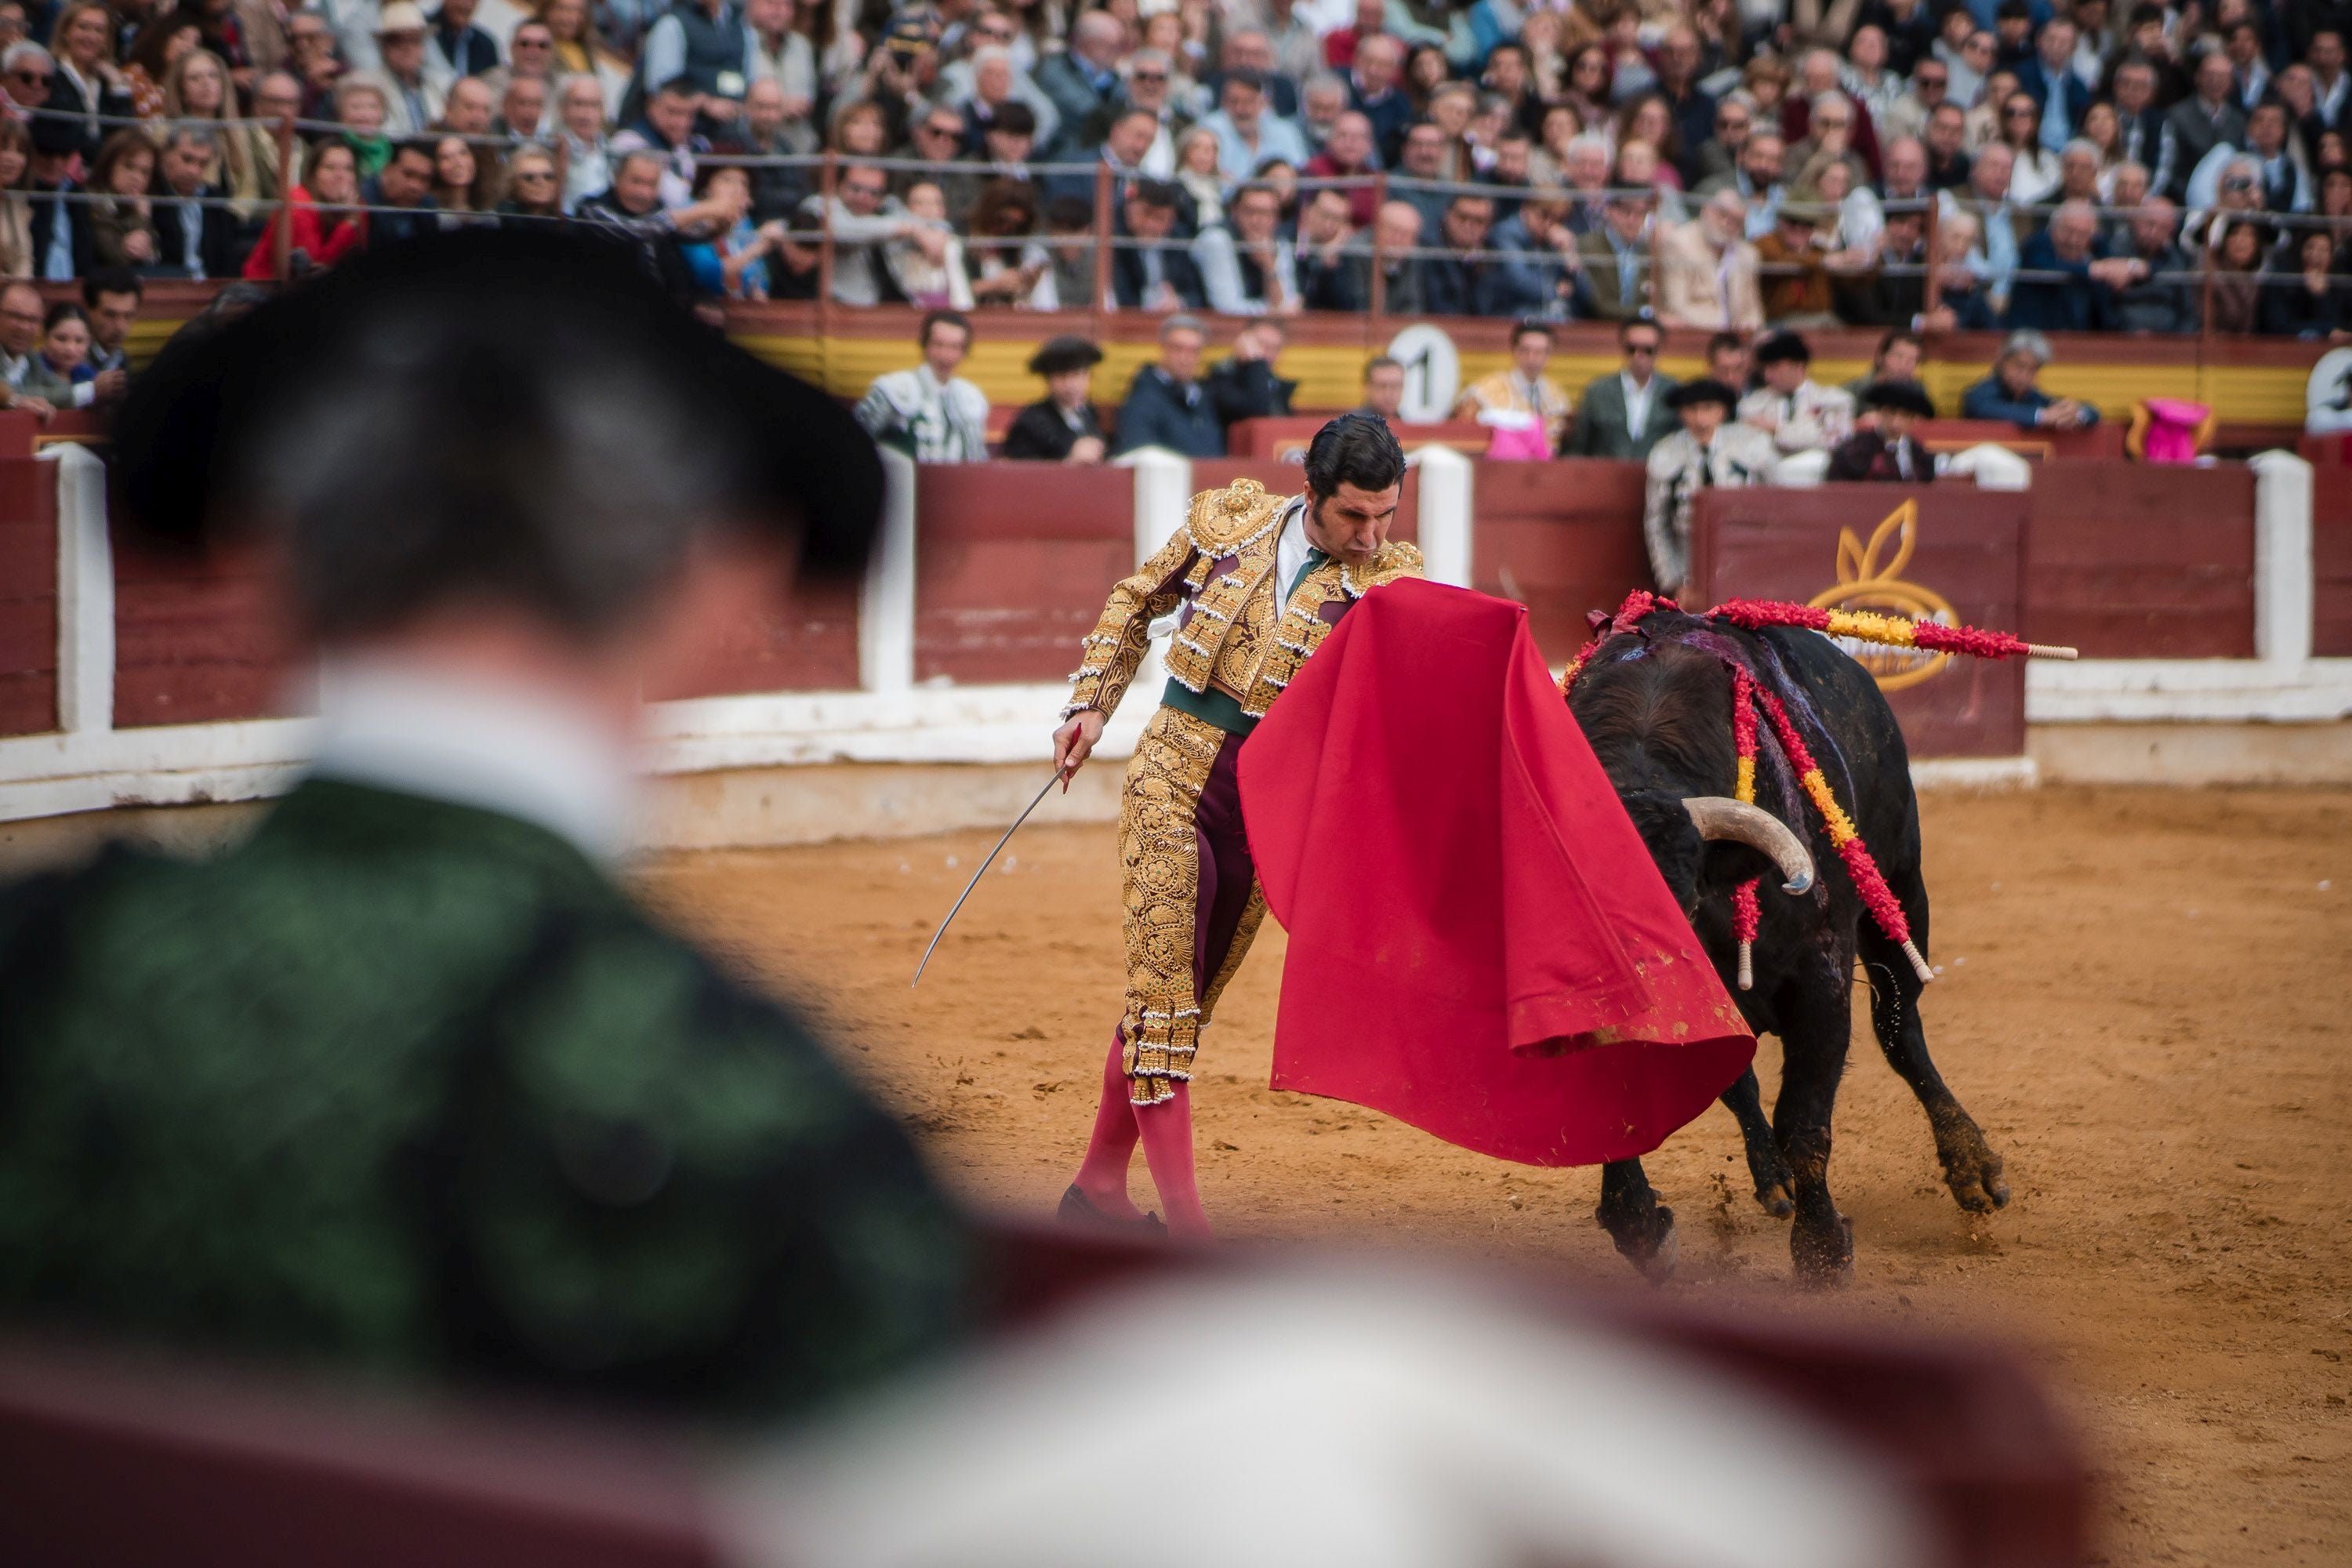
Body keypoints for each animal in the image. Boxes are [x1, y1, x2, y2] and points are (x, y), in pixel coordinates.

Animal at [1571, 611, 2013, 1288]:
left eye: (1684, 905)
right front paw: (1642, 1228)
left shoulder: (1821, 980)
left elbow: (1805, 1119)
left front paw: (1824, 1252)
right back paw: (1770, 1175)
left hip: (1900, 889)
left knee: (1900, 1031)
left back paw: (1973, 1169)